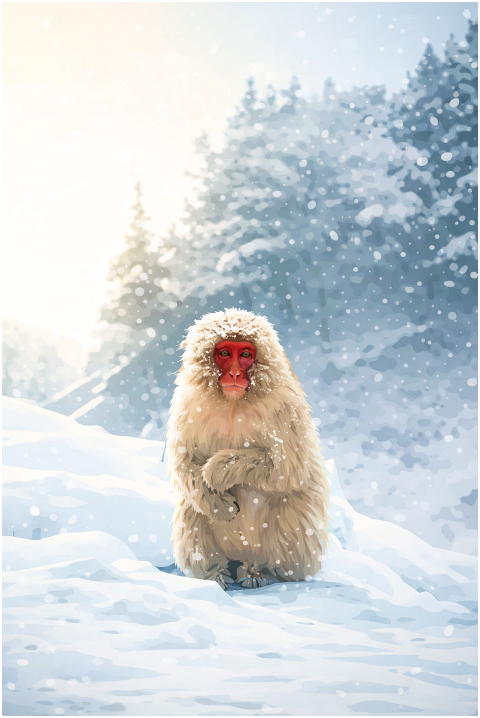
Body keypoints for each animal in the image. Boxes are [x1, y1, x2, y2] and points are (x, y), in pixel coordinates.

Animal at [166, 308, 330, 589]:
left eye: (245, 355)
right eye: (224, 353)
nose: (234, 374)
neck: (233, 404)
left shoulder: (285, 406)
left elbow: (290, 469)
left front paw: (217, 470)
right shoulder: (187, 403)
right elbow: (184, 464)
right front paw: (220, 506)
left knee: (292, 504)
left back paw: (262, 572)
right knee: (192, 509)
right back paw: (214, 574)